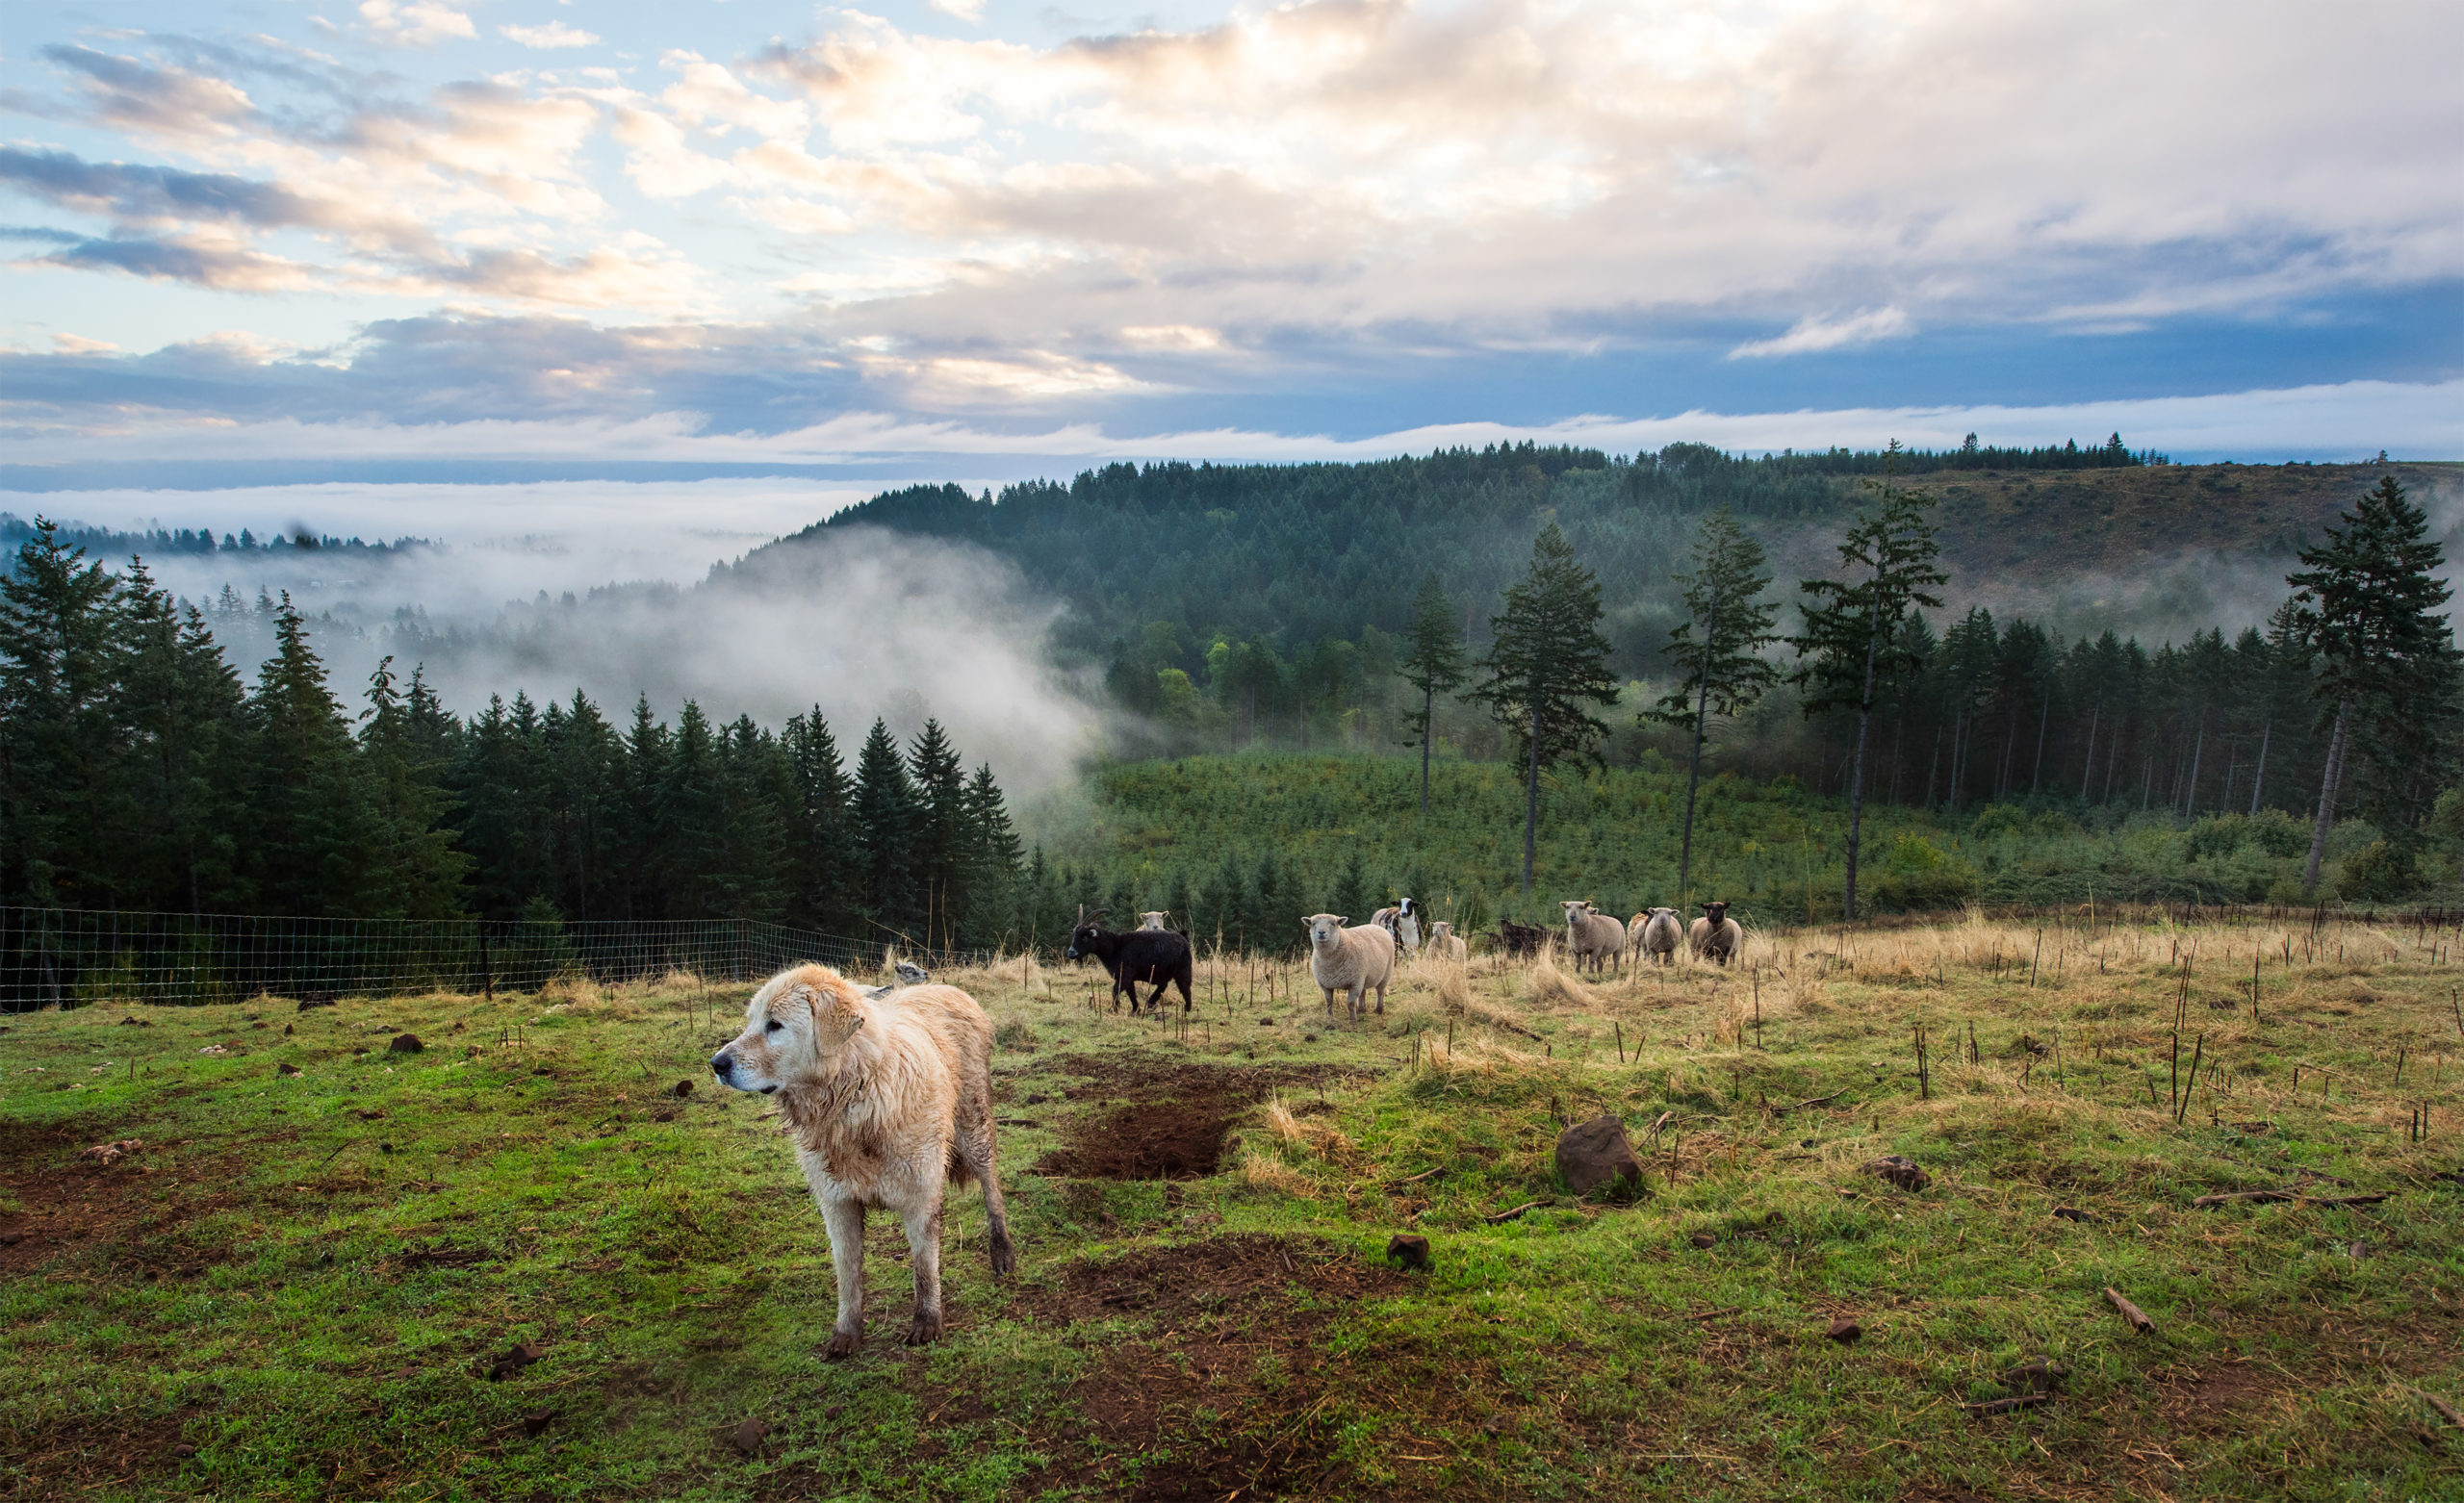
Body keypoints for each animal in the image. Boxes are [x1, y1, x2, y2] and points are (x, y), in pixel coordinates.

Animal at [709, 960, 1014, 1360]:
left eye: (774, 1024)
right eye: (751, 1022)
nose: (716, 1063)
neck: (855, 1094)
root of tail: (949, 989)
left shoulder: (920, 1195)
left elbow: (924, 1266)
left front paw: (927, 1322)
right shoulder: (837, 1203)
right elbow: (847, 1273)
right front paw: (846, 1332)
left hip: (972, 1128)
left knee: (991, 1187)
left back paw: (1002, 1251)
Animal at [1059, 902, 1193, 1005]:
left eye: (1085, 937)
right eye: (1074, 934)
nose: (1071, 953)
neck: (1116, 946)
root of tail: (1183, 938)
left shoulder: (1125, 975)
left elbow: (1115, 991)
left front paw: (1115, 1009)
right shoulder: (1127, 978)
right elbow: (1130, 993)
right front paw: (1135, 1009)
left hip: (1180, 969)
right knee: (1163, 985)